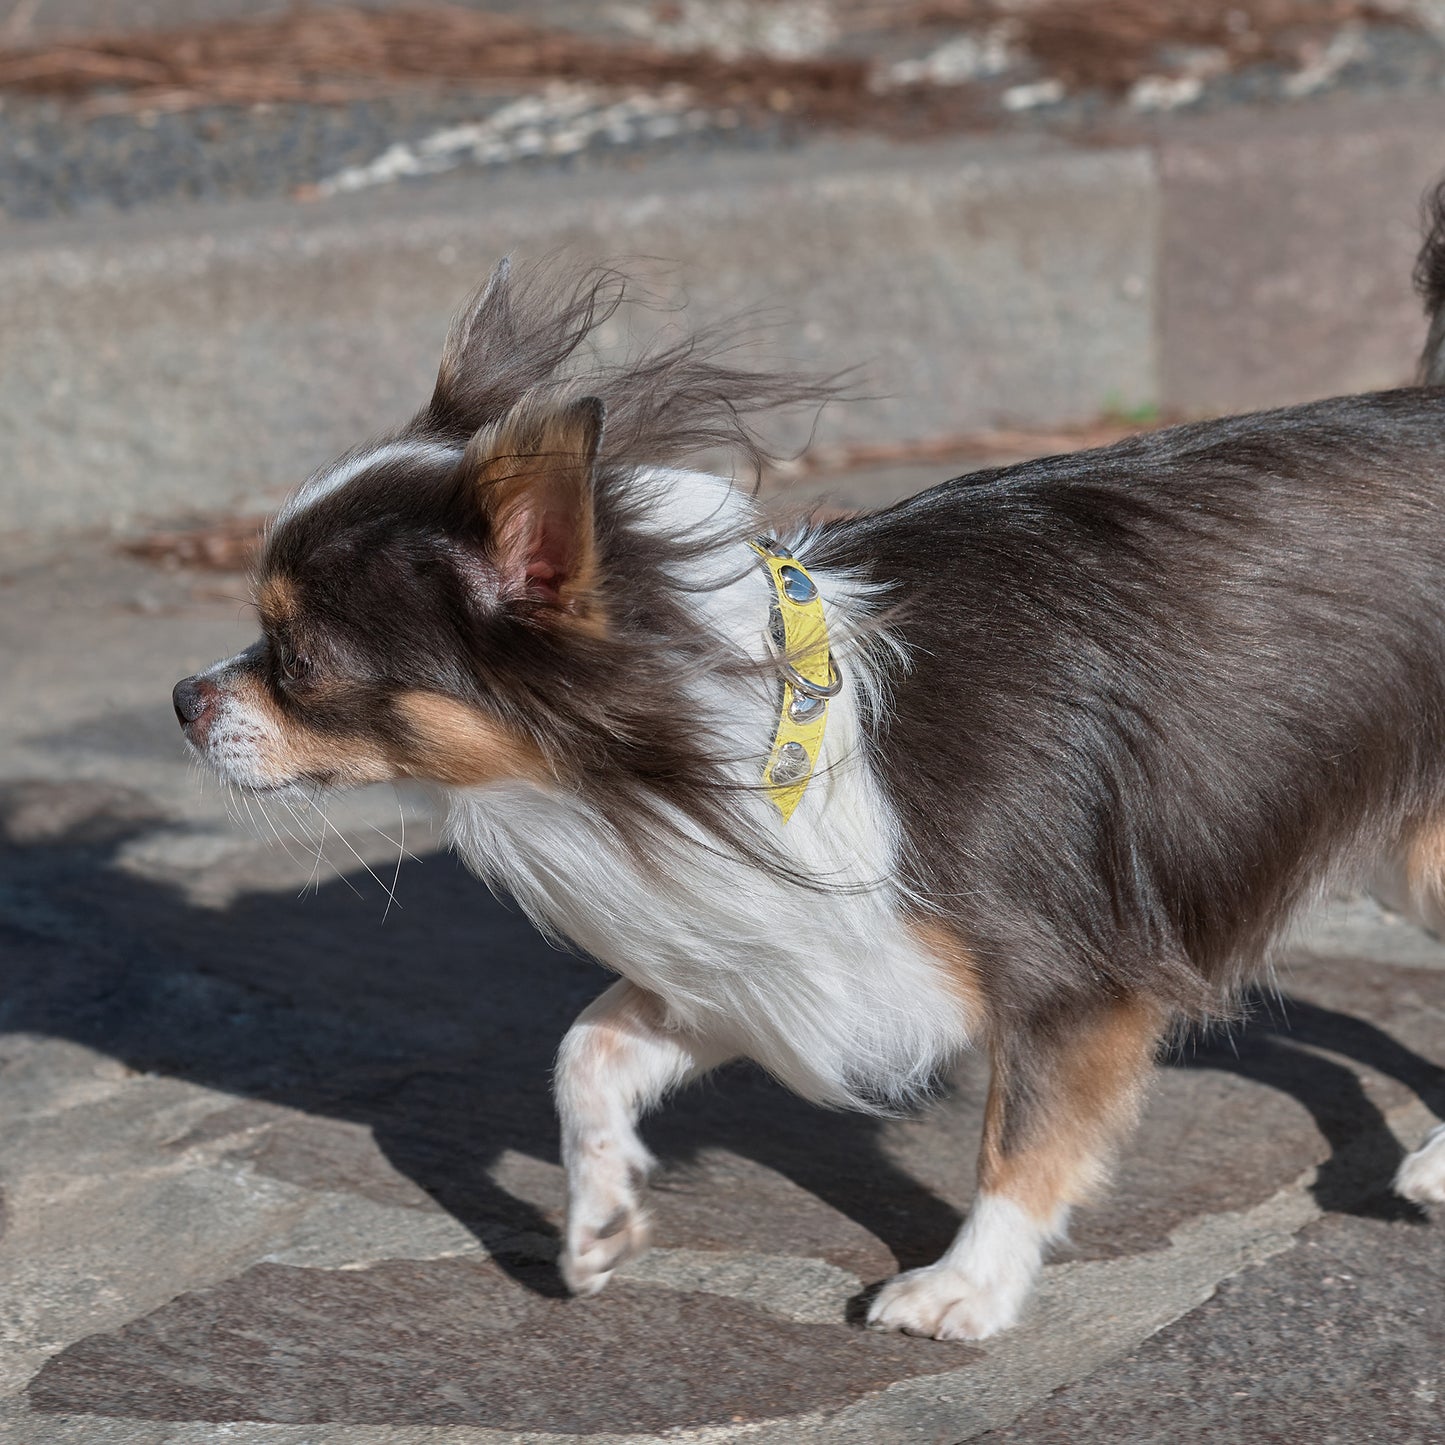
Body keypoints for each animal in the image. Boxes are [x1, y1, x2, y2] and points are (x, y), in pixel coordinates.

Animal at [171, 203, 1445, 1340]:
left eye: (298, 660)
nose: (182, 699)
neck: (722, 736)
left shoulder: (1069, 976)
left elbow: (1022, 1135)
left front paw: (965, 1288)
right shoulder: (770, 952)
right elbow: (586, 1048)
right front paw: (598, 1212)